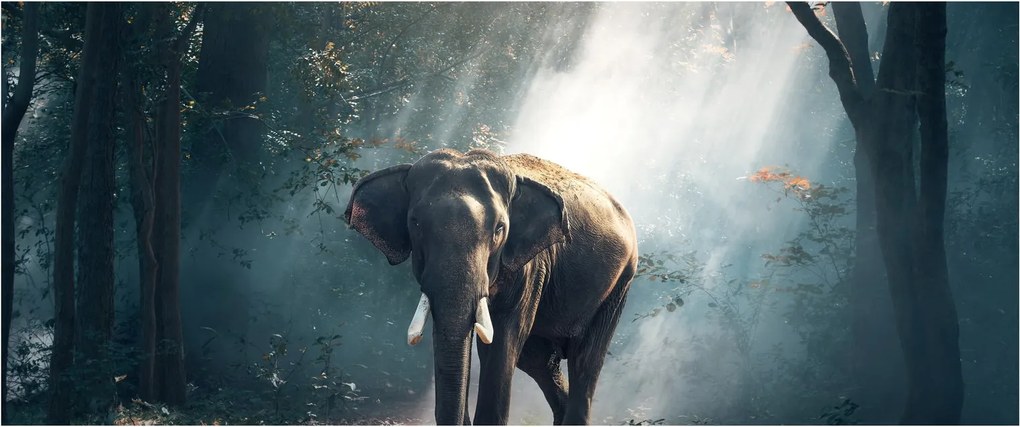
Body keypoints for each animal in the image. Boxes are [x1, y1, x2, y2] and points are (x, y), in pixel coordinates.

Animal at [344, 148, 637, 425]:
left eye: (499, 229)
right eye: (415, 223)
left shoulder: (531, 267)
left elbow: (503, 340)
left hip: (620, 284)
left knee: (584, 360)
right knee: (539, 360)